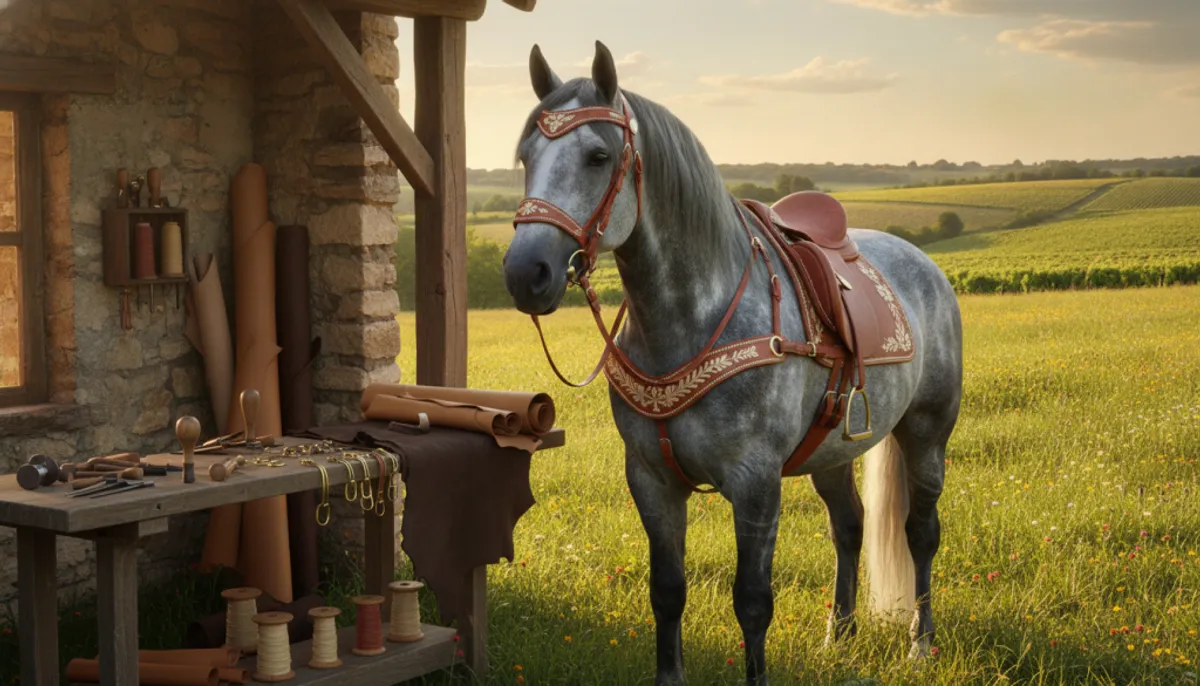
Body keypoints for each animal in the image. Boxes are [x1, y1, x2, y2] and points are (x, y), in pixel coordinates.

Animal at [502, 40, 963, 685]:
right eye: (525, 157)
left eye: (598, 156)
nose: (527, 273)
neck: (693, 317)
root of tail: (924, 264)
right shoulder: (651, 479)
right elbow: (667, 592)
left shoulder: (755, 483)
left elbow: (752, 601)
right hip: (832, 450)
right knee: (848, 526)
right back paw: (839, 635)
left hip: (926, 434)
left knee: (919, 533)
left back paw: (922, 643)